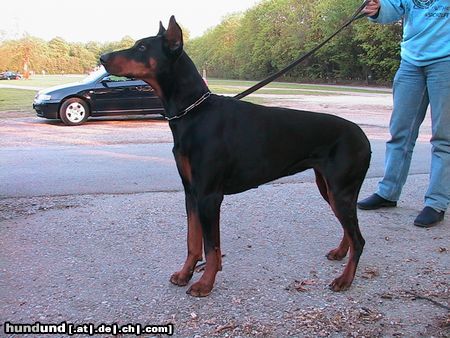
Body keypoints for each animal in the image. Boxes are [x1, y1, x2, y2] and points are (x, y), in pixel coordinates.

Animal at [100, 16, 370, 296]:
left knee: (359, 239)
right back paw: (340, 252)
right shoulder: (191, 193)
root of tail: (363, 136)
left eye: (142, 47)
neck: (193, 112)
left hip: (340, 190)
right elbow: (193, 242)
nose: (102, 57)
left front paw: (205, 283)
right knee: (349, 230)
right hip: (327, 187)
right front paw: (185, 274)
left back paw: (345, 279)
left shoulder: (209, 196)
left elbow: (212, 247)